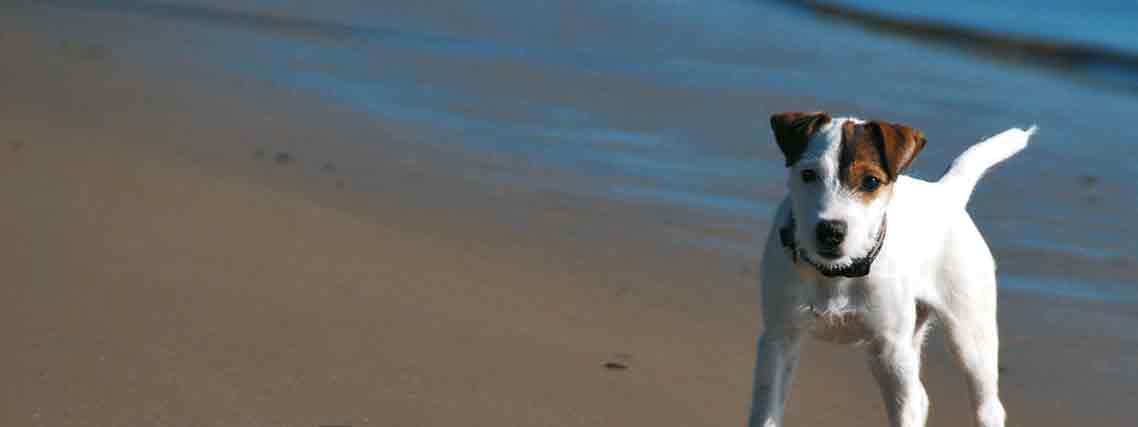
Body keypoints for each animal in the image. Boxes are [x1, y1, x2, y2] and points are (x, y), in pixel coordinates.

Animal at [751, 112, 1037, 427]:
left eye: (871, 181)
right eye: (808, 175)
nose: (830, 231)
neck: (838, 273)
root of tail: (945, 193)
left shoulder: (892, 353)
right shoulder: (779, 341)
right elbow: (766, 414)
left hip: (969, 336)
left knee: (987, 405)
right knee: (920, 397)